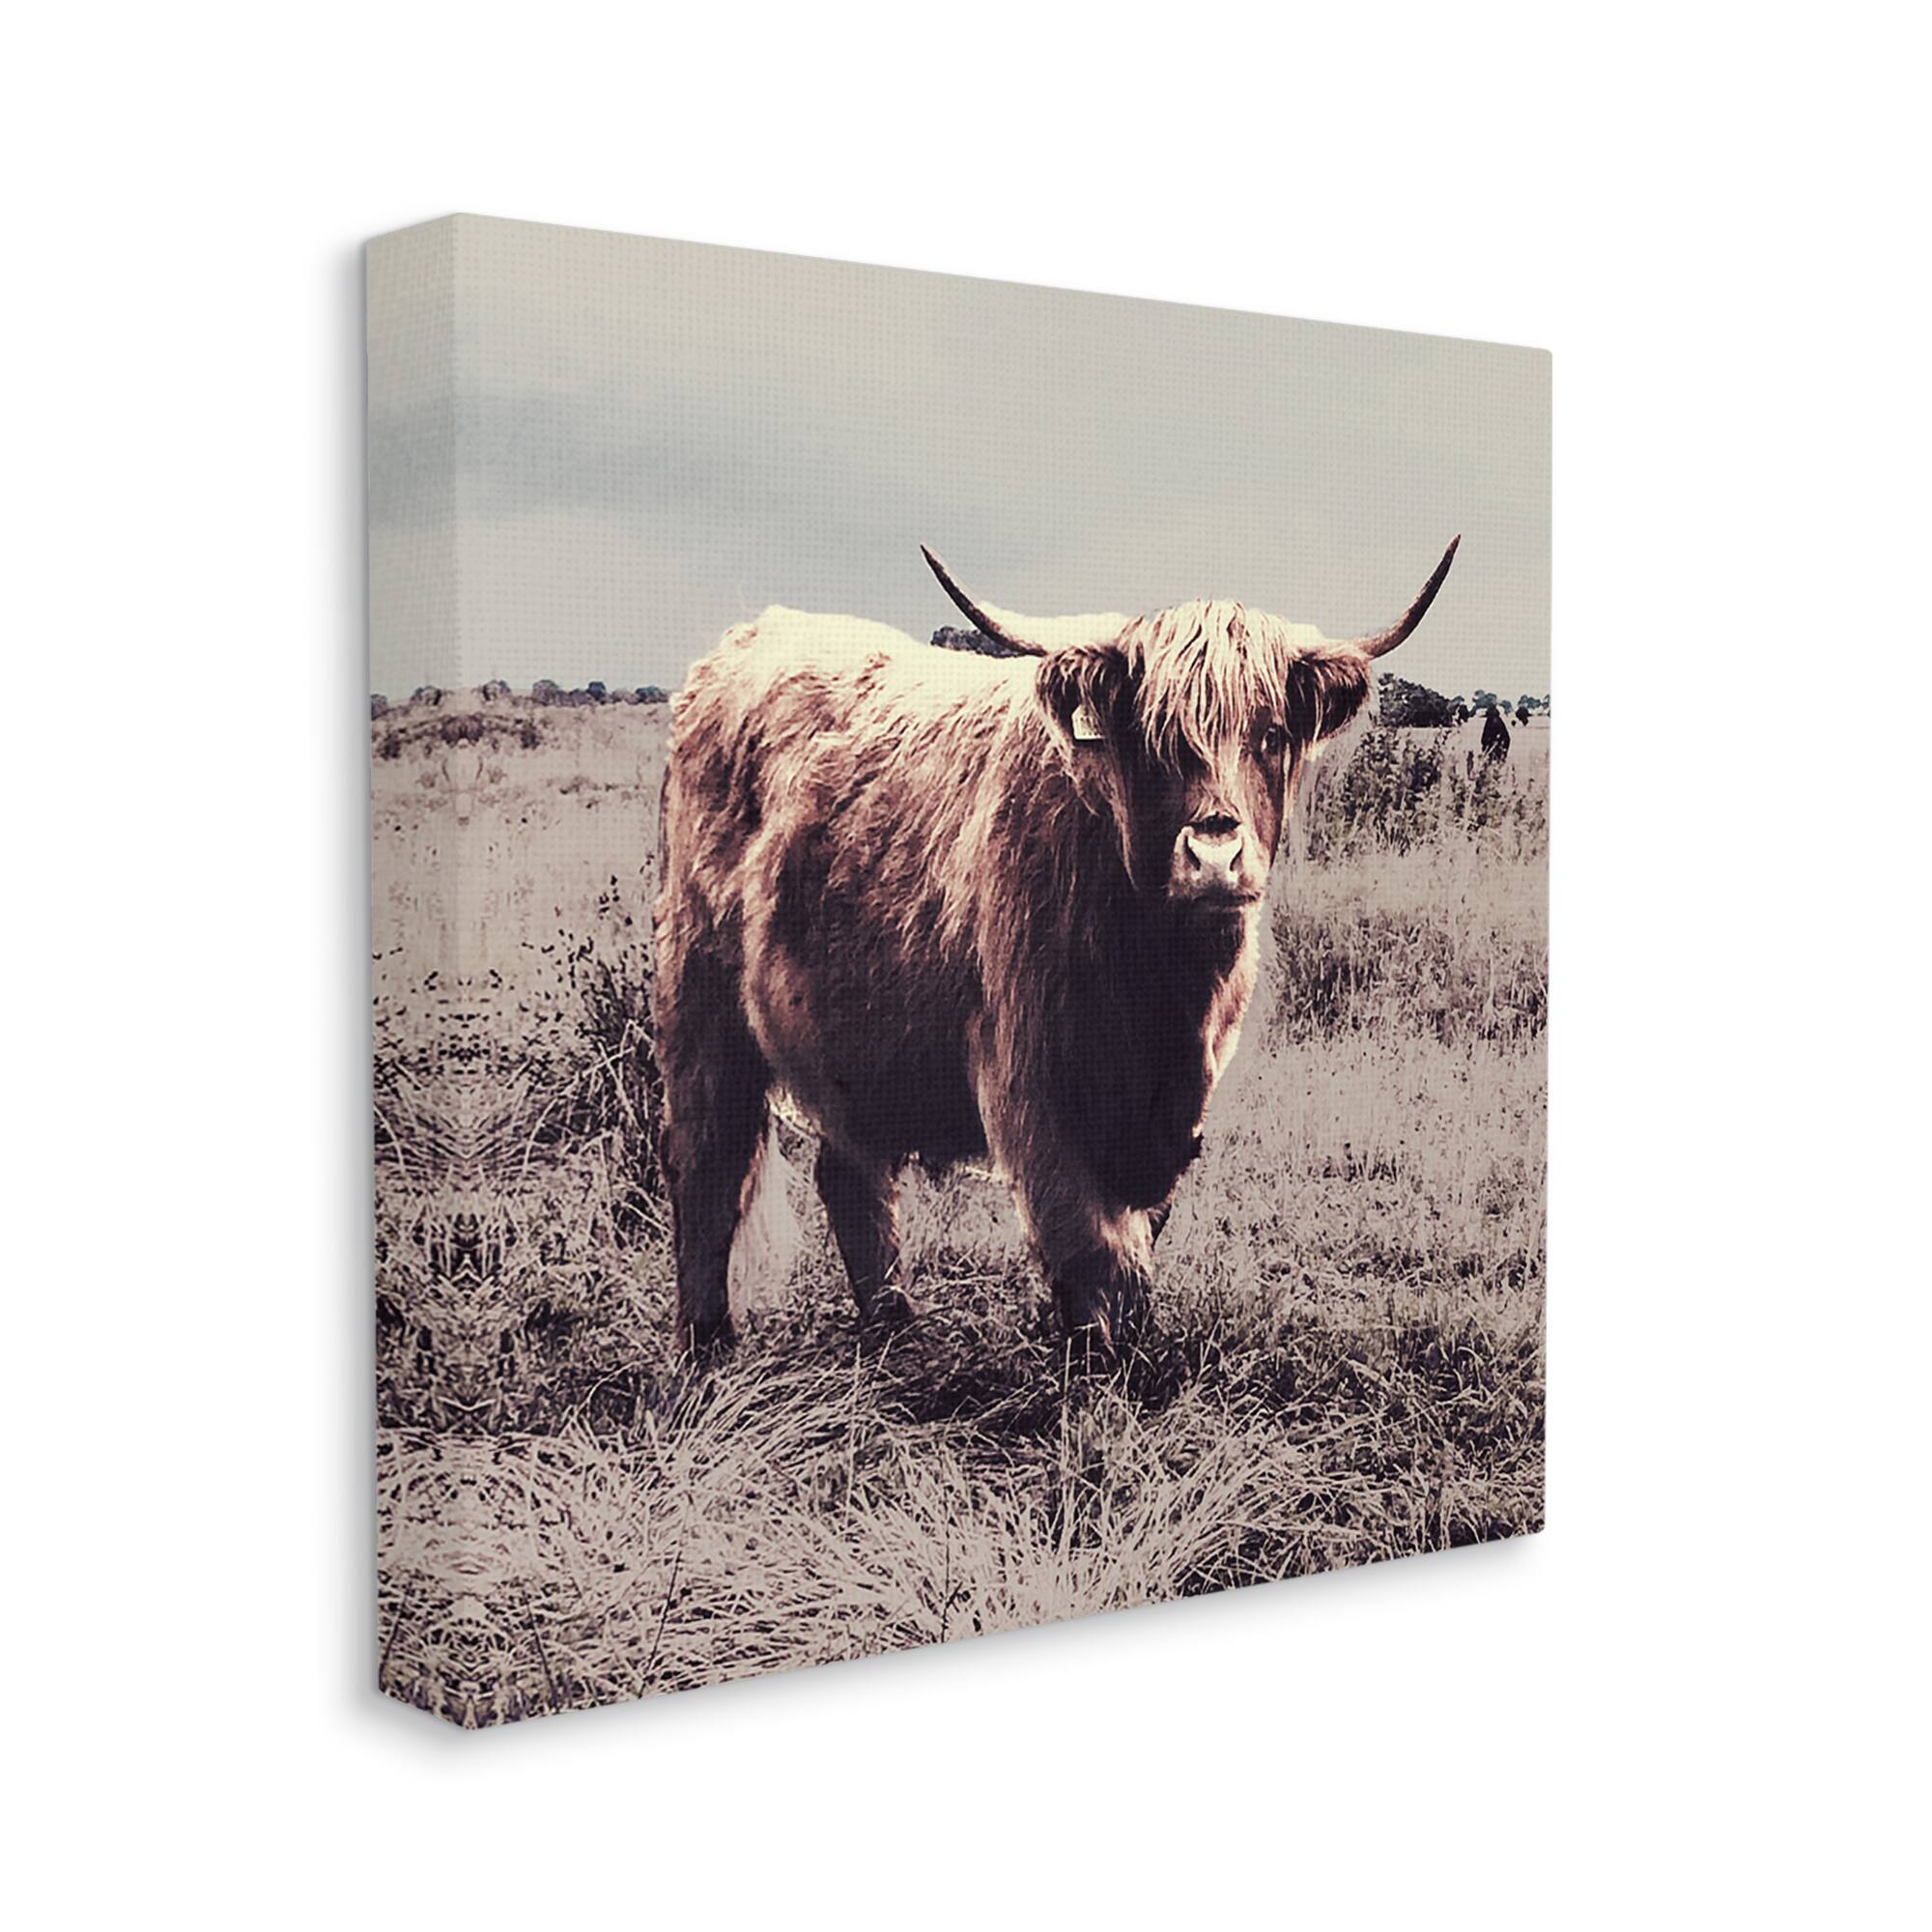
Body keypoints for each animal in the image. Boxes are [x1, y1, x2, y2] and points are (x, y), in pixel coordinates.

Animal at [652, 539, 1459, 1358]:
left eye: (1269, 735)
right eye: (1153, 742)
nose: (1214, 856)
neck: (1161, 989)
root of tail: (747, 638)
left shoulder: (1173, 1112)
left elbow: (1134, 1238)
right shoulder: (1030, 1083)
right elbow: (1093, 1250)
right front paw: (1101, 1364)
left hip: (847, 1035)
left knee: (850, 1174)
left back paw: (895, 1330)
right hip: (699, 997)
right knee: (708, 1161)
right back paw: (707, 1341)